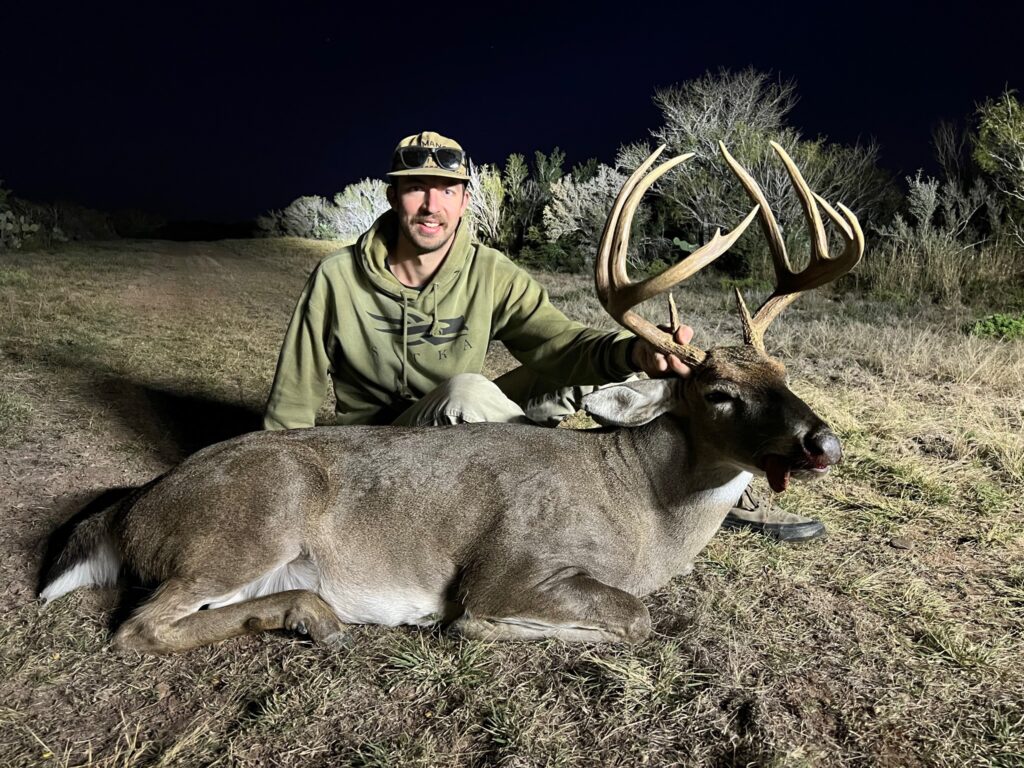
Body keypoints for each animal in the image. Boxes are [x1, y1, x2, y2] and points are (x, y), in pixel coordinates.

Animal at [39, 142, 863, 654]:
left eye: (786, 375)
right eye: (719, 393)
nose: (823, 443)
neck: (645, 512)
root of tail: (129, 510)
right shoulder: (515, 565)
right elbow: (634, 618)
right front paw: (479, 628)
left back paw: (314, 615)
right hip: (252, 521)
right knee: (137, 627)